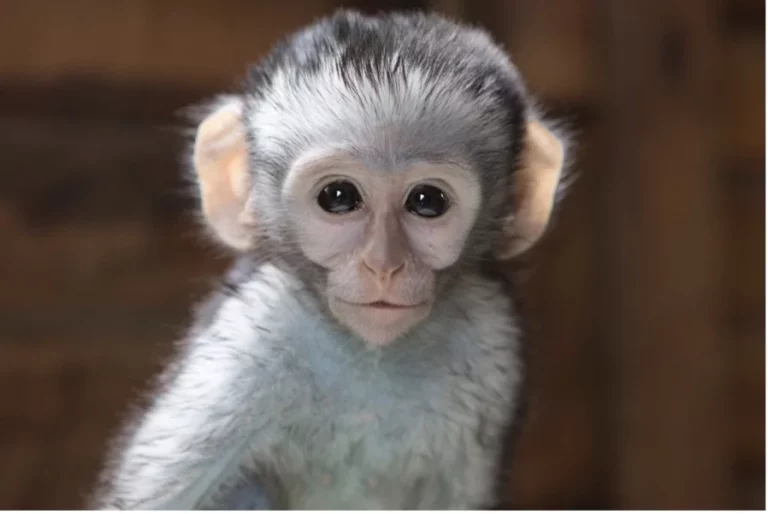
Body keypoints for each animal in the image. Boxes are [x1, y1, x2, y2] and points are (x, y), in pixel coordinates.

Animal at [92, 9, 569, 510]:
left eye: (428, 201)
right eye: (339, 197)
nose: (383, 265)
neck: (373, 357)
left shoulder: (494, 333)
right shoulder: (252, 335)